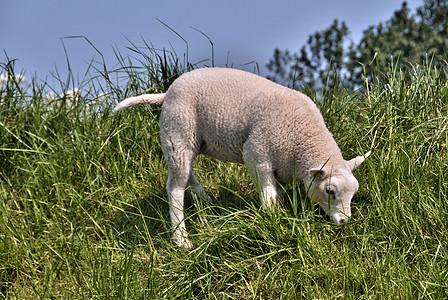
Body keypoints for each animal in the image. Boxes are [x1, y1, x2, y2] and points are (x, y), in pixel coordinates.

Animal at [115, 68, 372, 248]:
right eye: (330, 191)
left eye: (354, 193)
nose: (344, 222)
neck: (302, 137)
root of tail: (166, 93)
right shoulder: (256, 154)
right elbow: (268, 195)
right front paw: (273, 220)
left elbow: (278, 191)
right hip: (178, 131)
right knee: (174, 188)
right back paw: (181, 239)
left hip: (187, 141)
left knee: (186, 172)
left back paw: (205, 199)